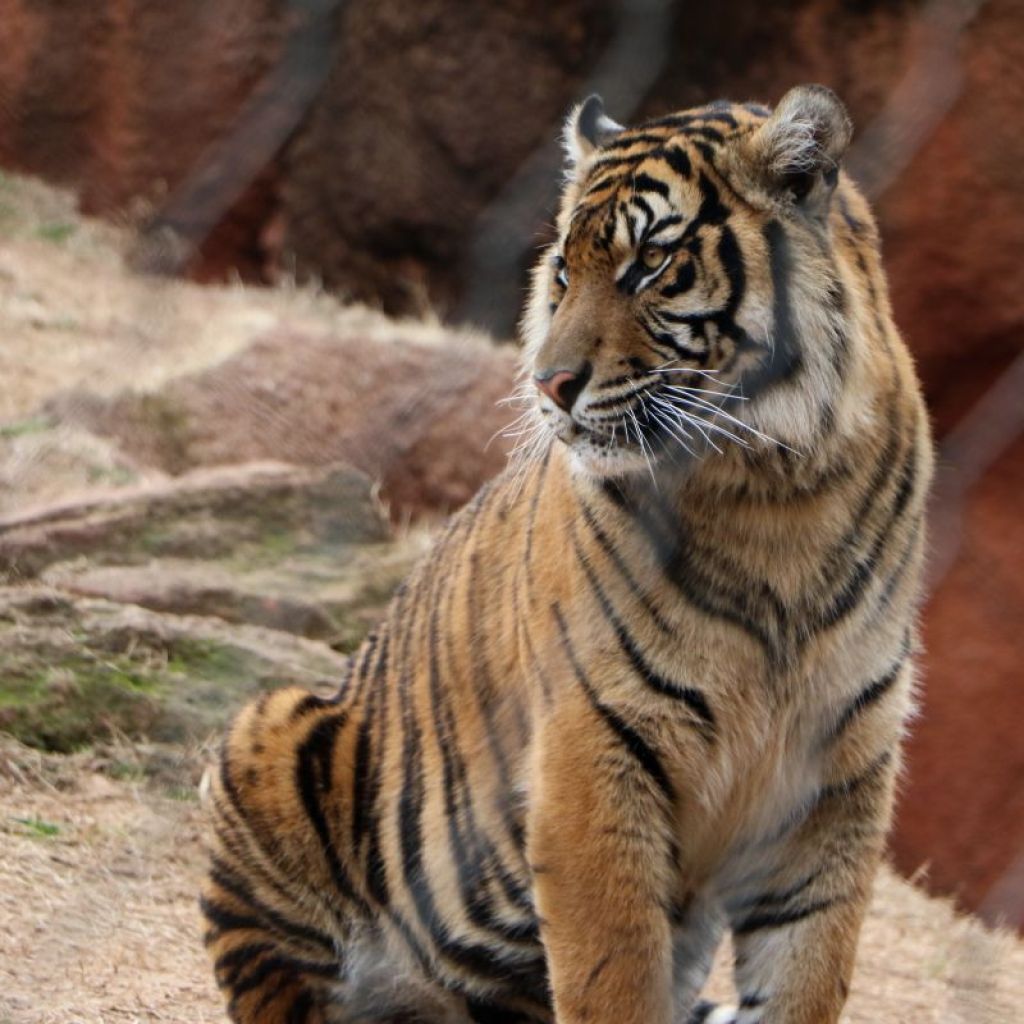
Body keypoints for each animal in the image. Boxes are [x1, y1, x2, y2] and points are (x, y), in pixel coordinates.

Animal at [199, 84, 933, 1024]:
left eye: (650, 264)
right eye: (561, 273)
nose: (548, 384)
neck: (776, 493)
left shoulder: (837, 778)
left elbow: (806, 977)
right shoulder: (596, 745)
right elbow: (614, 976)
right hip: (268, 733)